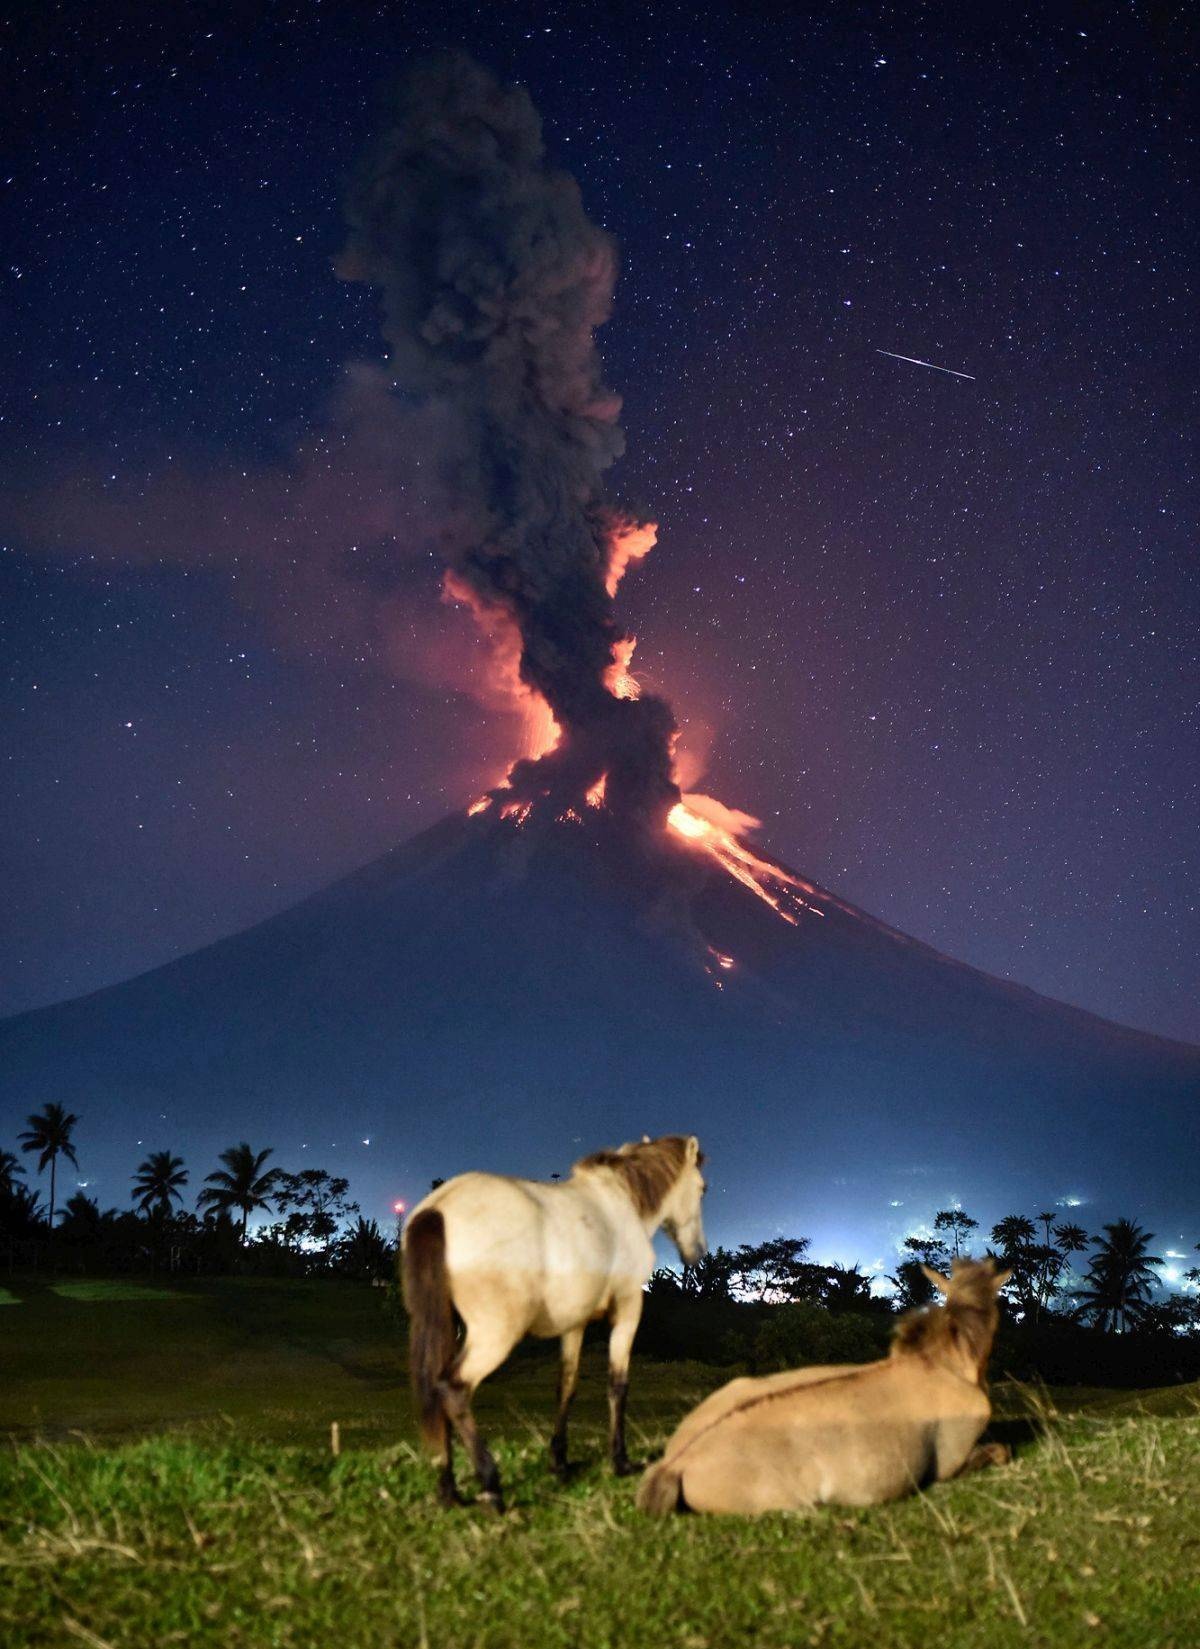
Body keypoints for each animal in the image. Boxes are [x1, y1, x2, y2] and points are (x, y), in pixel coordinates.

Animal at [398, 1134, 708, 1510]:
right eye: (702, 1189)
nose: (698, 1252)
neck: (619, 1200)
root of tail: (439, 1207)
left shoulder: (575, 1323)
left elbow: (567, 1386)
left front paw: (559, 1462)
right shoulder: (628, 1309)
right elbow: (618, 1385)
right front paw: (620, 1462)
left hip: (446, 1328)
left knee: (434, 1389)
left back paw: (450, 1492)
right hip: (494, 1336)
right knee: (452, 1389)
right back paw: (491, 1484)